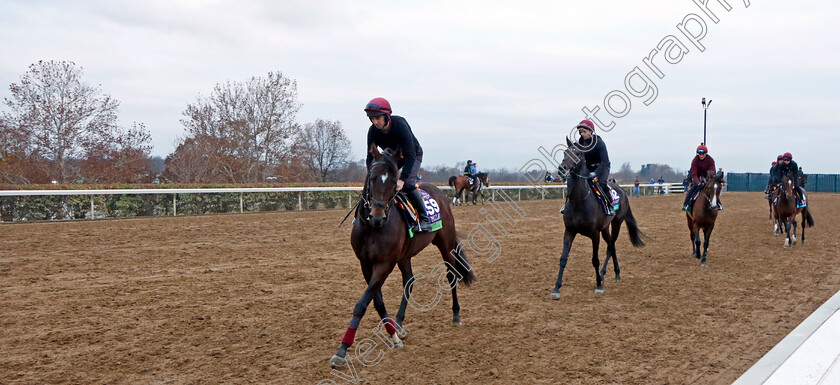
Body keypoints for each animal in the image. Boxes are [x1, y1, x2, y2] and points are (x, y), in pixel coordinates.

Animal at [330, 146, 476, 368]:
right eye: (372, 178)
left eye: (393, 181)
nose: (377, 217)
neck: (372, 229)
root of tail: (439, 193)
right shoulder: (366, 264)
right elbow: (377, 301)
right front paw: (394, 336)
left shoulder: (385, 263)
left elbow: (362, 303)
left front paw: (343, 349)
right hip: (405, 255)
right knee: (409, 280)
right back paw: (398, 323)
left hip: (445, 243)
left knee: (451, 275)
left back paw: (456, 314)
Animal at [552, 138, 644, 300]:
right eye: (565, 152)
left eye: (577, 153)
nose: (562, 169)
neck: (580, 201)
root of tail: (622, 190)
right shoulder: (569, 231)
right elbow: (563, 258)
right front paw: (556, 288)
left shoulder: (594, 234)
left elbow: (595, 260)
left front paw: (599, 285)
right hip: (605, 228)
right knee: (611, 246)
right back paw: (614, 273)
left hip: (617, 223)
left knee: (611, 247)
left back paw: (606, 274)